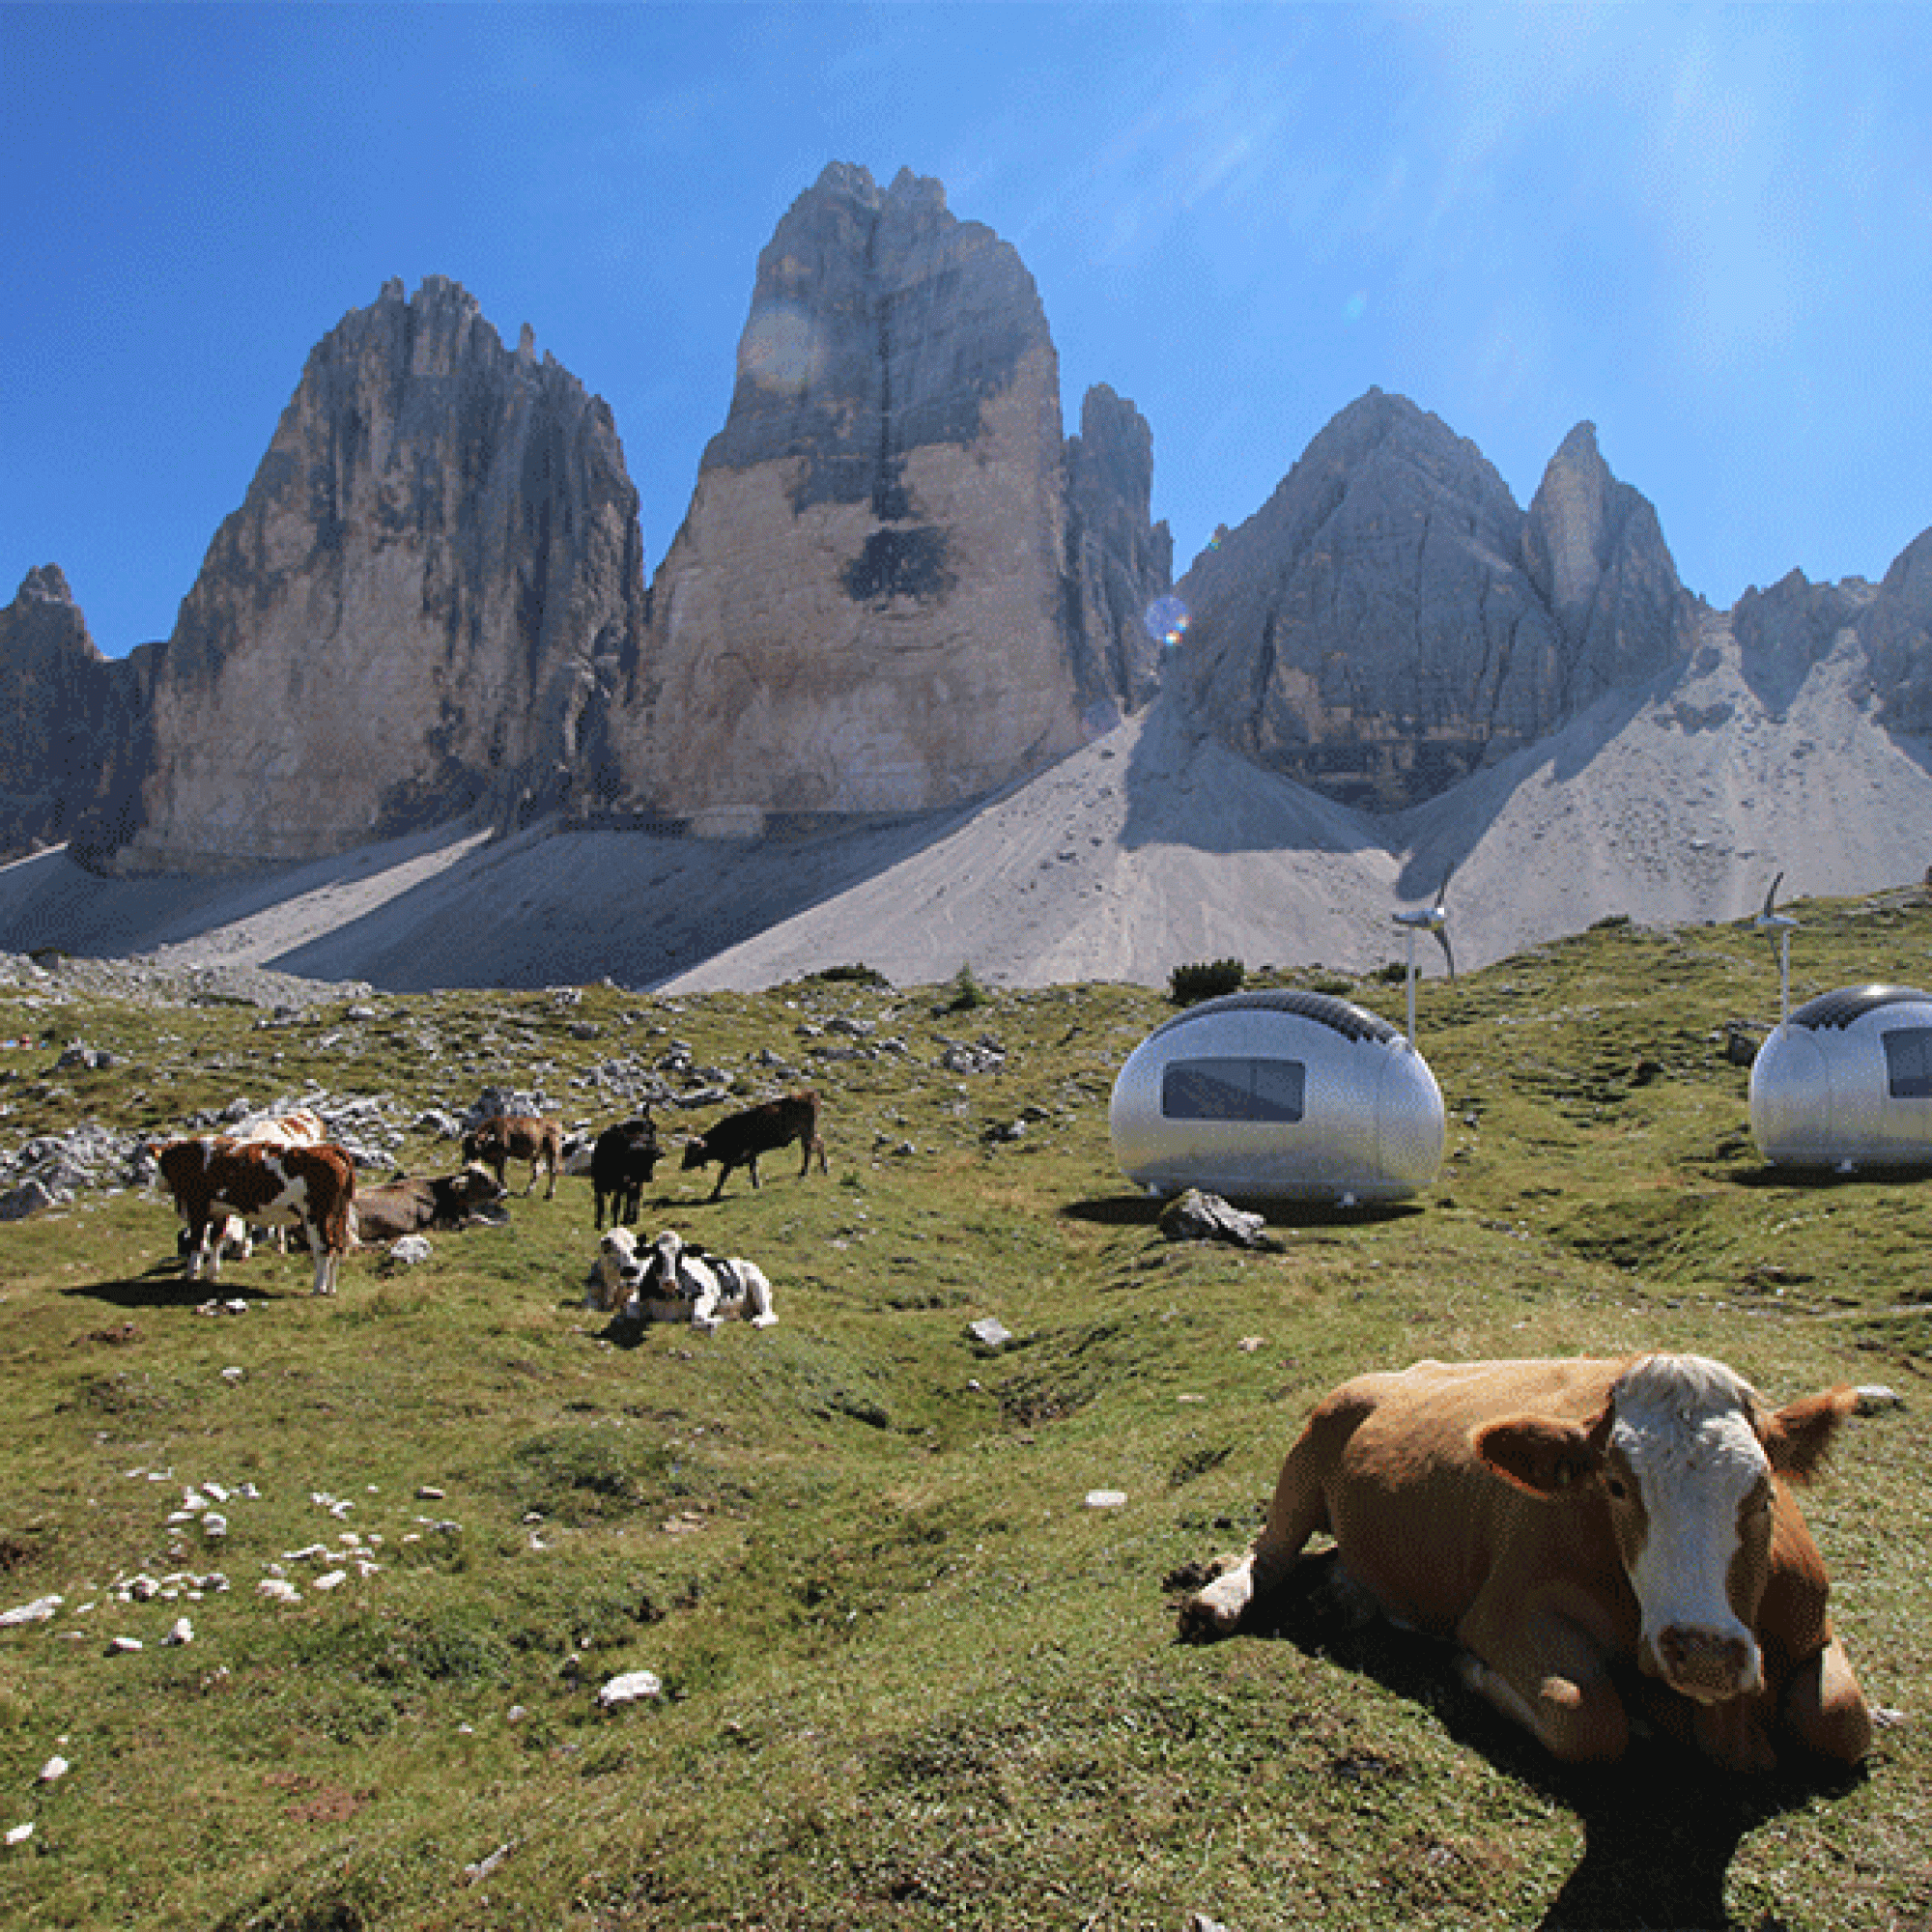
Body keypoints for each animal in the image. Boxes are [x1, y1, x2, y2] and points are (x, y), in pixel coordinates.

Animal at [156, 1128, 357, 1298]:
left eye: (159, 1163)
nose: (157, 1183)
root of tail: (331, 1148)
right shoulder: (220, 1210)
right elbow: (216, 1240)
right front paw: (211, 1274)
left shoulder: (197, 1207)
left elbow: (197, 1242)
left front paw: (191, 1274)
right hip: (338, 1214)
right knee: (338, 1246)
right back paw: (331, 1289)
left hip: (317, 1215)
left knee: (325, 1247)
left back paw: (318, 1288)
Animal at [583, 1229, 773, 1337]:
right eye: (656, 1254)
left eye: (680, 1255)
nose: (670, 1282)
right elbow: (631, 1313)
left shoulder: (708, 1294)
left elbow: (698, 1318)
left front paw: (717, 1320)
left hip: (758, 1283)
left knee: (769, 1314)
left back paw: (757, 1321)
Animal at [684, 1097, 827, 1198]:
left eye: (692, 1151)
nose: (682, 1166)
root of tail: (809, 1095)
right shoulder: (750, 1153)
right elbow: (753, 1168)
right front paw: (756, 1184)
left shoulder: (736, 1157)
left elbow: (723, 1174)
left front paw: (714, 1194)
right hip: (807, 1133)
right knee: (819, 1144)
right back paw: (821, 1169)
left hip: (807, 1131)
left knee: (811, 1148)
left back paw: (806, 1172)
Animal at [1175, 1352, 1870, 1770]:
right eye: (1615, 1486)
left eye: (1763, 1490)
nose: (1703, 1650)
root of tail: (1397, 1372)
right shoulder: (1504, 1611)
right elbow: (1586, 1718)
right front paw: (1469, 1670)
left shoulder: (1815, 1623)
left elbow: (1841, 1722)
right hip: (1304, 1462)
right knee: (1270, 1556)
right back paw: (1215, 1598)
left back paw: (1338, 1598)